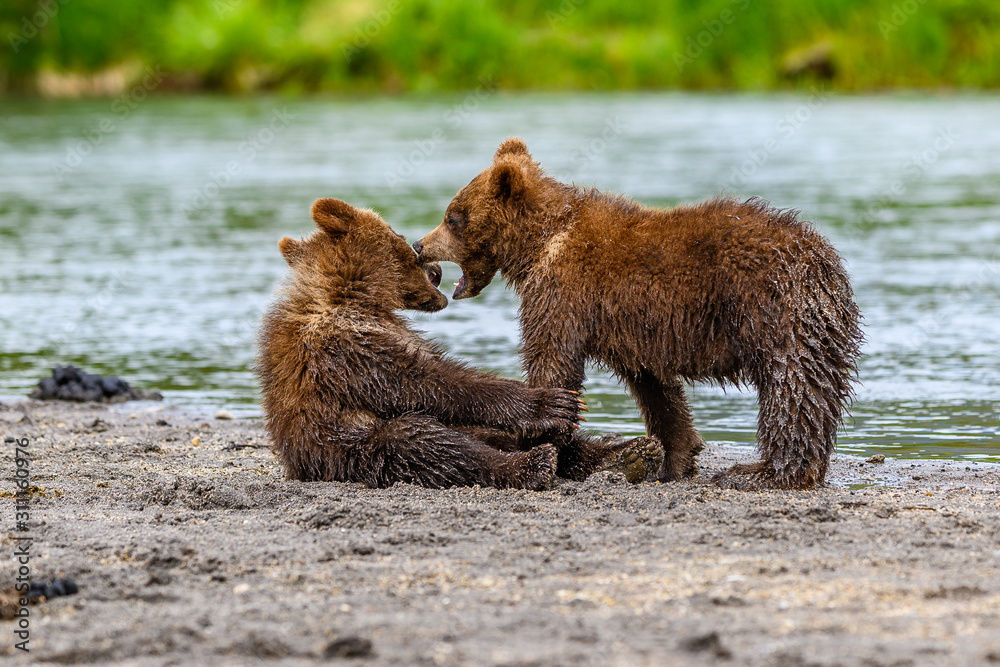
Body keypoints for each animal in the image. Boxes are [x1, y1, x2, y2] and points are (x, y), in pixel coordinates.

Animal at [256, 197, 662, 489]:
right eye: (401, 240)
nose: (435, 269)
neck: (353, 297)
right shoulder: (341, 347)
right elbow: (422, 381)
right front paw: (548, 402)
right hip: (347, 449)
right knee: (421, 442)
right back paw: (531, 464)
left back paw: (628, 452)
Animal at [413, 138, 864, 490]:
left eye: (453, 217)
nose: (419, 244)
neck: (541, 241)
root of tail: (827, 263)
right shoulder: (633, 326)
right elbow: (656, 388)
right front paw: (675, 457)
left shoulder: (565, 290)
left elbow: (554, 357)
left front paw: (542, 432)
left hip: (775, 313)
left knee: (792, 391)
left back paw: (762, 472)